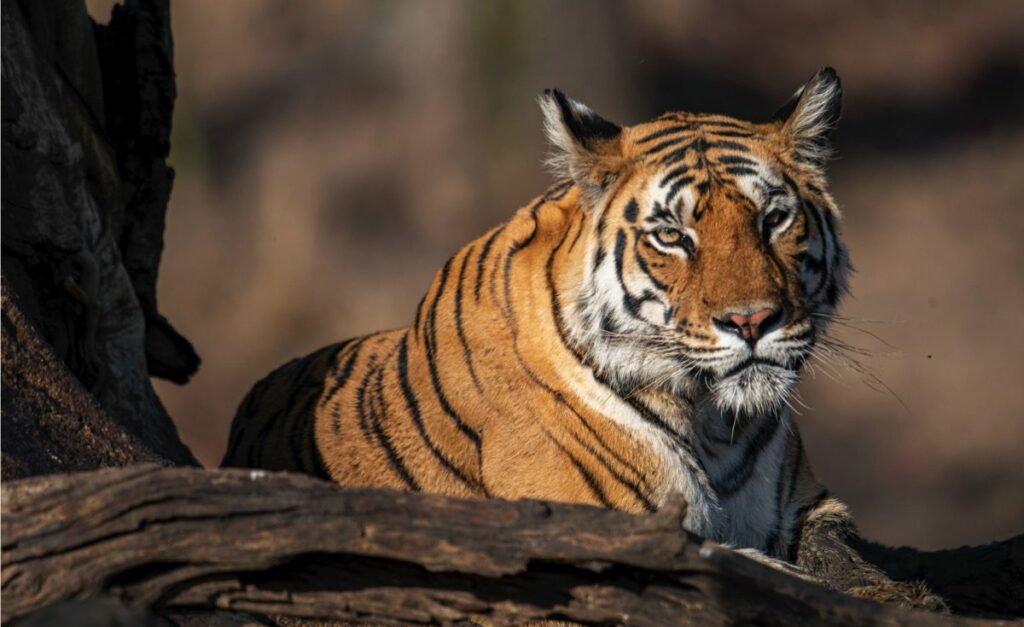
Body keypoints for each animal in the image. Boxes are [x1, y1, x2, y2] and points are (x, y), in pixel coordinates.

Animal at [224, 67, 942, 606]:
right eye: (672, 235)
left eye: (773, 219)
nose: (751, 322)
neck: (715, 423)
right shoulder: (604, 531)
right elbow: (754, 570)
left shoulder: (807, 508)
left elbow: (839, 559)